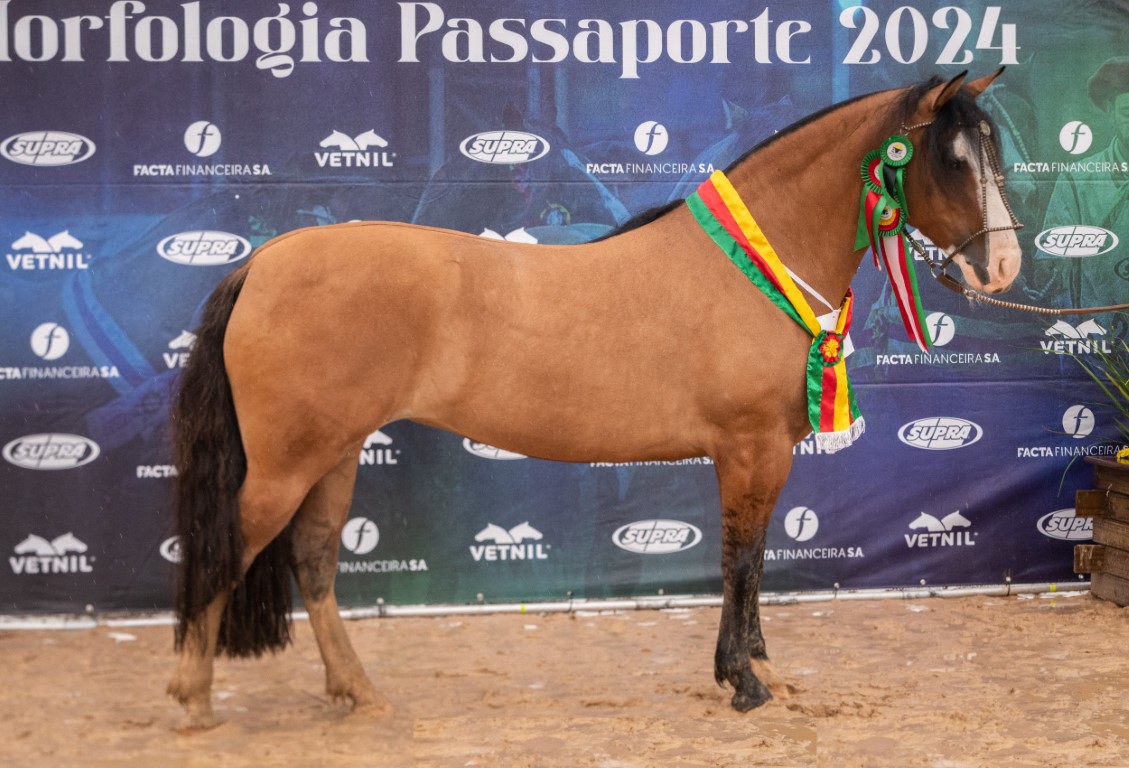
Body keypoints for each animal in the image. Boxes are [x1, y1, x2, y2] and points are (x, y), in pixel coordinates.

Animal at [164, 68, 1025, 727]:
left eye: (991, 153)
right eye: (950, 160)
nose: (1004, 268)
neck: (753, 263)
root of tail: (264, 261)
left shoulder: (765, 454)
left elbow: (752, 563)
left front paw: (761, 670)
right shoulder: (748, 448)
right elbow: (740, 559)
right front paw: (742, 681)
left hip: (336, 452)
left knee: (313, 563)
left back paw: (357, 690)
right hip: (287, 462)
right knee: (229, 549)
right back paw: (194, 698)